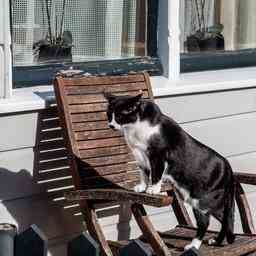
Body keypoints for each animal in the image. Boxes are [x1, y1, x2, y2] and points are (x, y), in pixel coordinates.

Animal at [104, 91, 236, 250]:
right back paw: (217, 241)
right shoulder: (140, 156)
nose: (111, 125)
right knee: (226, 218)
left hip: (202, 199)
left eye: (119, 115)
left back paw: (194, 245)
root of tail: (228, 167)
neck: (135, 128)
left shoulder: (158, 155)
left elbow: (156, 173)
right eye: (108, 114)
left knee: (207, 222)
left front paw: (153, 190)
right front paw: (142, 187)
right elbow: (143, 173)